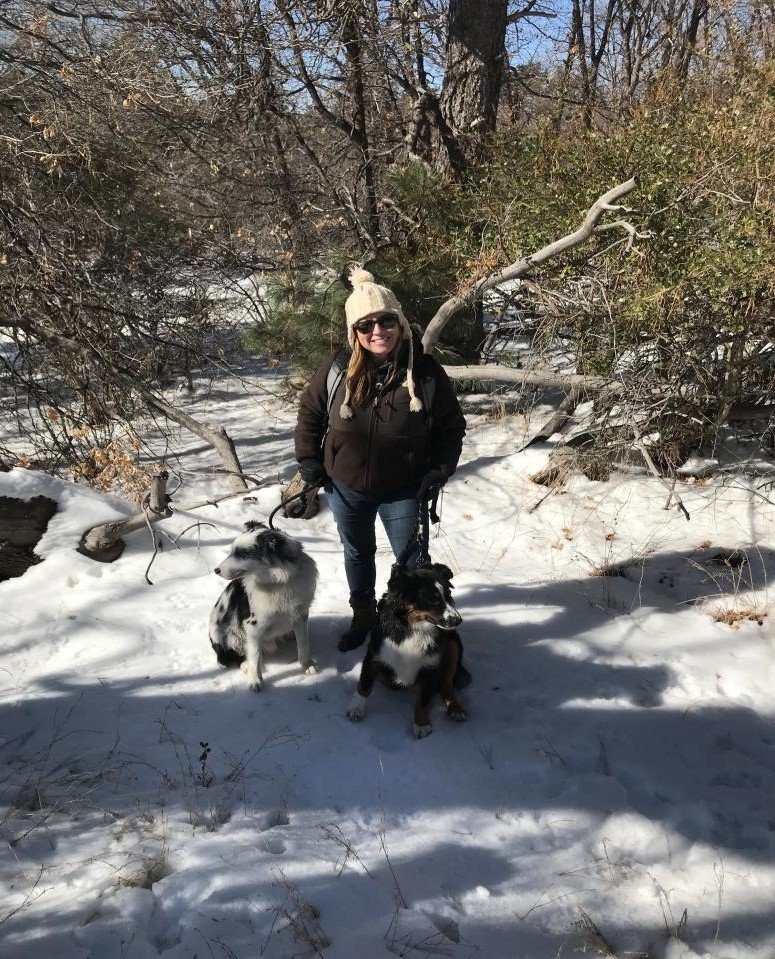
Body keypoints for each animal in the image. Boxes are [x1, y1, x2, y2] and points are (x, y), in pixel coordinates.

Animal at [348, 568, 470, 740]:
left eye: (449, 595)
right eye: (432, 600)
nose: (458, 620)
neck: (414, 628)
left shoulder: (430, 666)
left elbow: (423, 699)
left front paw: (421, 724)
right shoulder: (374, 656)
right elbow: (364, 686)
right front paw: (356, 709)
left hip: (453, 645)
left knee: (446, 685)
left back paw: (456, 709)